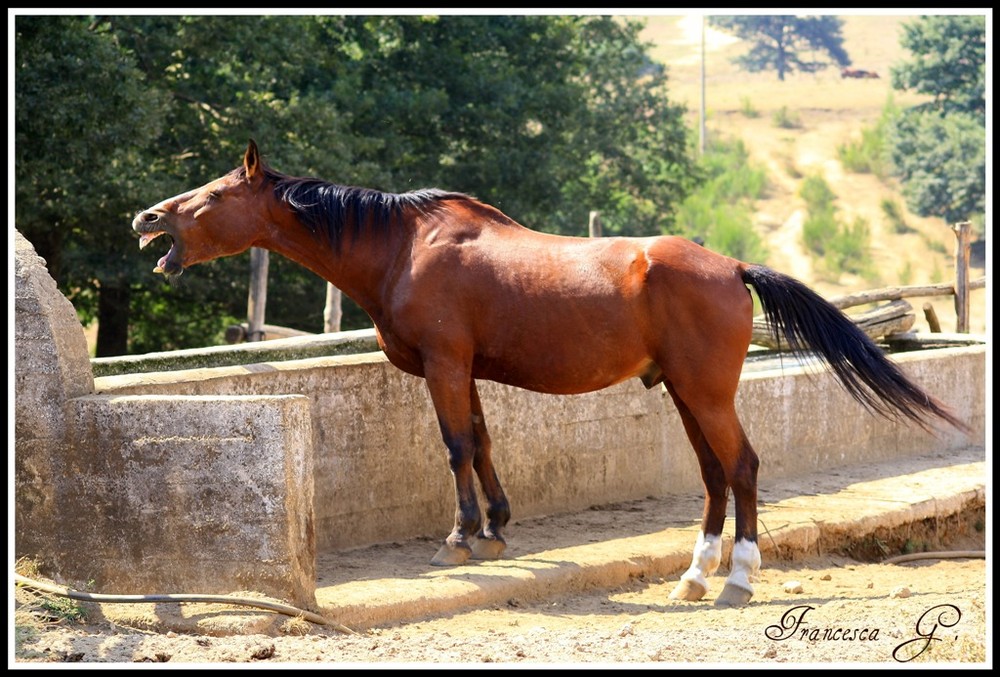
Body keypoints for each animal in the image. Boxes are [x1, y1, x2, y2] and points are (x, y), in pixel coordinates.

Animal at [131, 140, 960, 604]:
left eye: (211, 195)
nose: (146, 218)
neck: (403, 246)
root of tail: (730, 266)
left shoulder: (444, 365)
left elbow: (456, 446)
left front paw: (462, 535)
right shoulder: (464, 369)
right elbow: (483, 441)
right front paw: (497, 525)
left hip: (706, 393)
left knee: (744, 467)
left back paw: (737, 577)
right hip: (686, 393)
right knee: (715, 476)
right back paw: (694, 575)